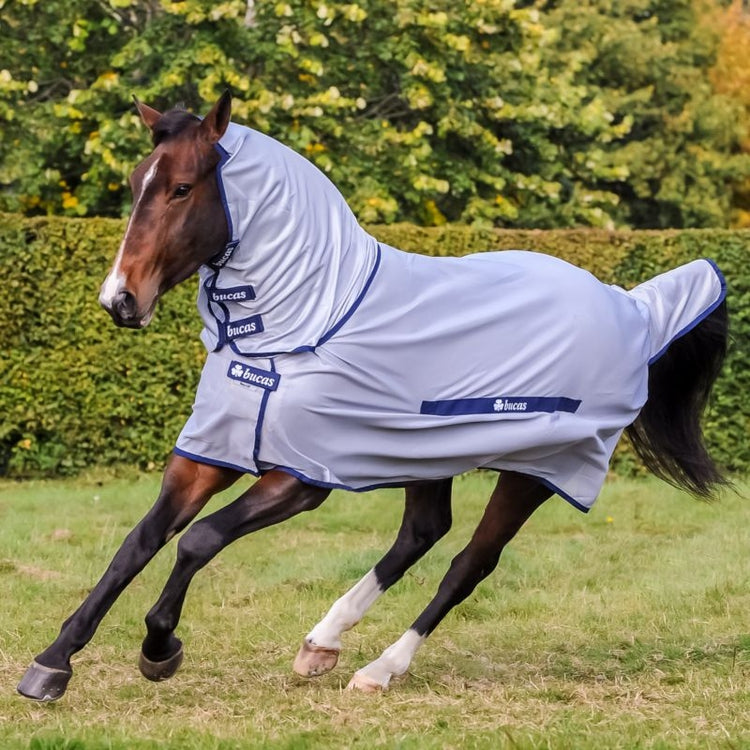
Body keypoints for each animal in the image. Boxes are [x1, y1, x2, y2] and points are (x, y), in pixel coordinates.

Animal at [18, 92, 729, 701]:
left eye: (183, 188)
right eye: (136, 182)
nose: (119, 300)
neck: (303, 326)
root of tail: (630, 307)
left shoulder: (300, 478)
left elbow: (198, 540)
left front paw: (160, 649)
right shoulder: (206, 456)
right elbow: (136, 544)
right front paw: (51, 665)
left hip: (535, 470)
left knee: (470, 562)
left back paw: (380, 670)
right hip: (426, 452)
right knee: (422, 533)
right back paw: (321, 644)